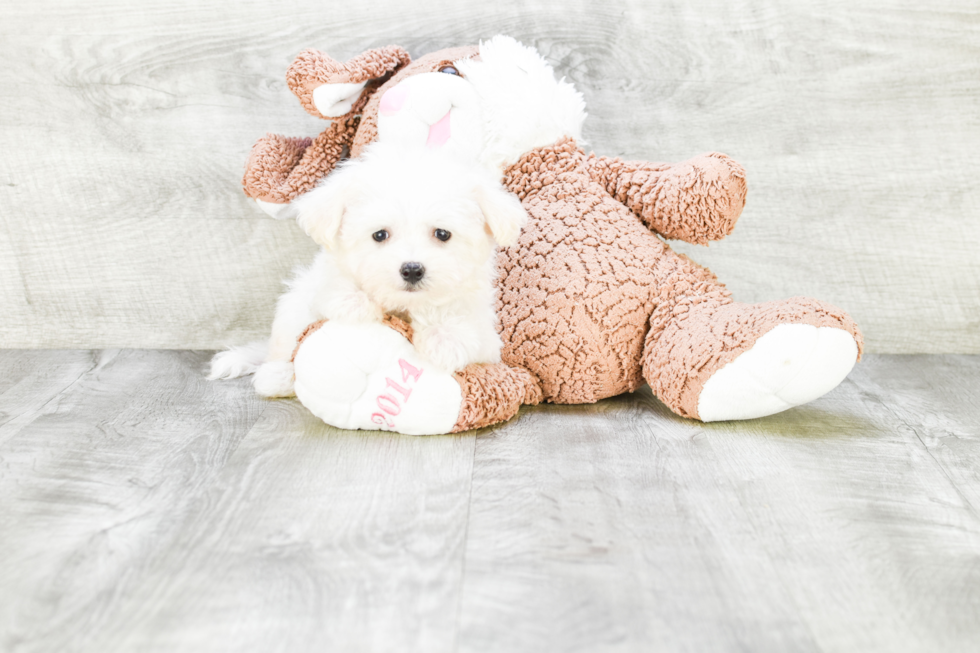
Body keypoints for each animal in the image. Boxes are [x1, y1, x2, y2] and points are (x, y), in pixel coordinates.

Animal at [216, 141, 528, 398]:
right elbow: (333, 288)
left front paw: (444, 338)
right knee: (283, 343)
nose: (412, 269)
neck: (401, 306)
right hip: (291, 308)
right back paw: (277, 375)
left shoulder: (487, 338)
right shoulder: (319, 283)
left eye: (442, 234)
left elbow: (462, 321)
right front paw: (354, 301)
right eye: (380, 235)